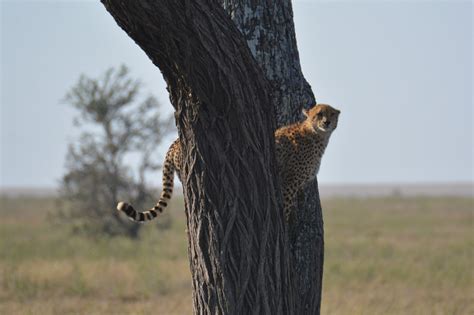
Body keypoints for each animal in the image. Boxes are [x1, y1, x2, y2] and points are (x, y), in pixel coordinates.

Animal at [117, 105, 340, 223]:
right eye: (319, 114)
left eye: (330, 114)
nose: (327, 122)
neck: (316, 135)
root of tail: (175, 142)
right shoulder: (289, 183)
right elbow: (285, 206)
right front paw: (285, 227)